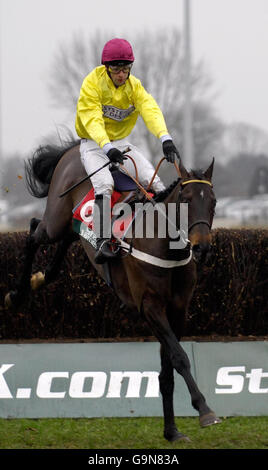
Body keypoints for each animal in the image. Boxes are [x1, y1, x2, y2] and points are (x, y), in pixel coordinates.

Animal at [5, 140, 220, 440]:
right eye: (186, 199)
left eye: (213, 201)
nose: (203, 248)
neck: (163, 246)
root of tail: (72, 148)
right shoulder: (150, 306)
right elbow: (179, 357)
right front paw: (205, 410)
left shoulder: (177, 308)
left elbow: (167, 368)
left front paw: (172, 431)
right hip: (56, 220)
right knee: (34, 231)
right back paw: (16, 295)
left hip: (71, 228)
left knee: (65, 240)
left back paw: (41, 278)